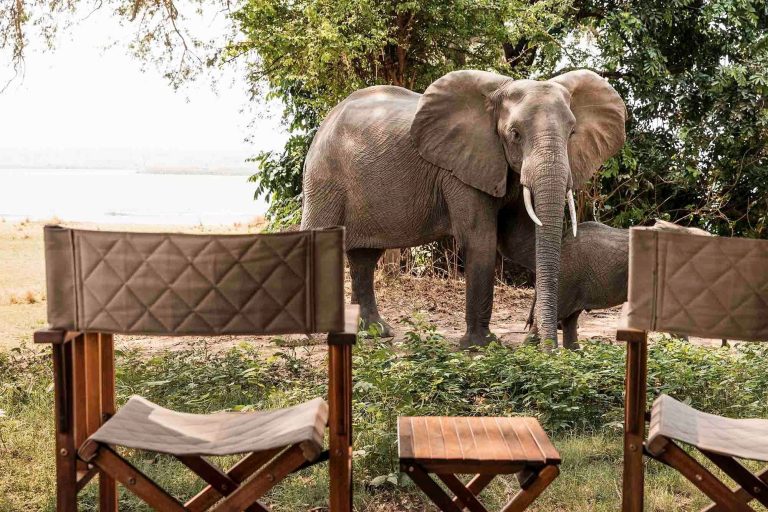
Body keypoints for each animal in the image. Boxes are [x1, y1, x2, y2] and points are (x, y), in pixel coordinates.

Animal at [301, 69, 626, 347]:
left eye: (572, 133)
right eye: (515, 134)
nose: (543, 344)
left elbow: (520, 242)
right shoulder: (460, 170)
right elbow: (481, 239)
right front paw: (481, 346)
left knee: (364, 258)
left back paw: (374, 333)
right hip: (325, 175)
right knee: (322, 243)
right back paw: (312, 336)